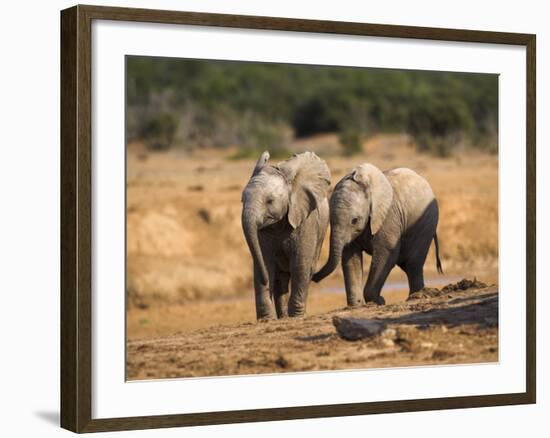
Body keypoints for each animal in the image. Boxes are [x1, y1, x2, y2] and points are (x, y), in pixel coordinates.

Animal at [243, 152, 330, 320]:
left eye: (270, 201)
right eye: (242, 200)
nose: (265, 281)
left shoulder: (306, 221)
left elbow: (300, 264)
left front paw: (296, 316)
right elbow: (264, 262)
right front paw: (266, 319)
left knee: (306, 271)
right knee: (280, 279)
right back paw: (282, 317)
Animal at [314, 163, 444, 304]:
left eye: (355, 220)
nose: (313, 276)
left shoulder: (388, 216)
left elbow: (386, 252)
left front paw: (379, 301)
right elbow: (350, 257)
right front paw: (357, 305)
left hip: (426, 223)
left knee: (413, 263)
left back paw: (417, 296)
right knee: (407, 264)